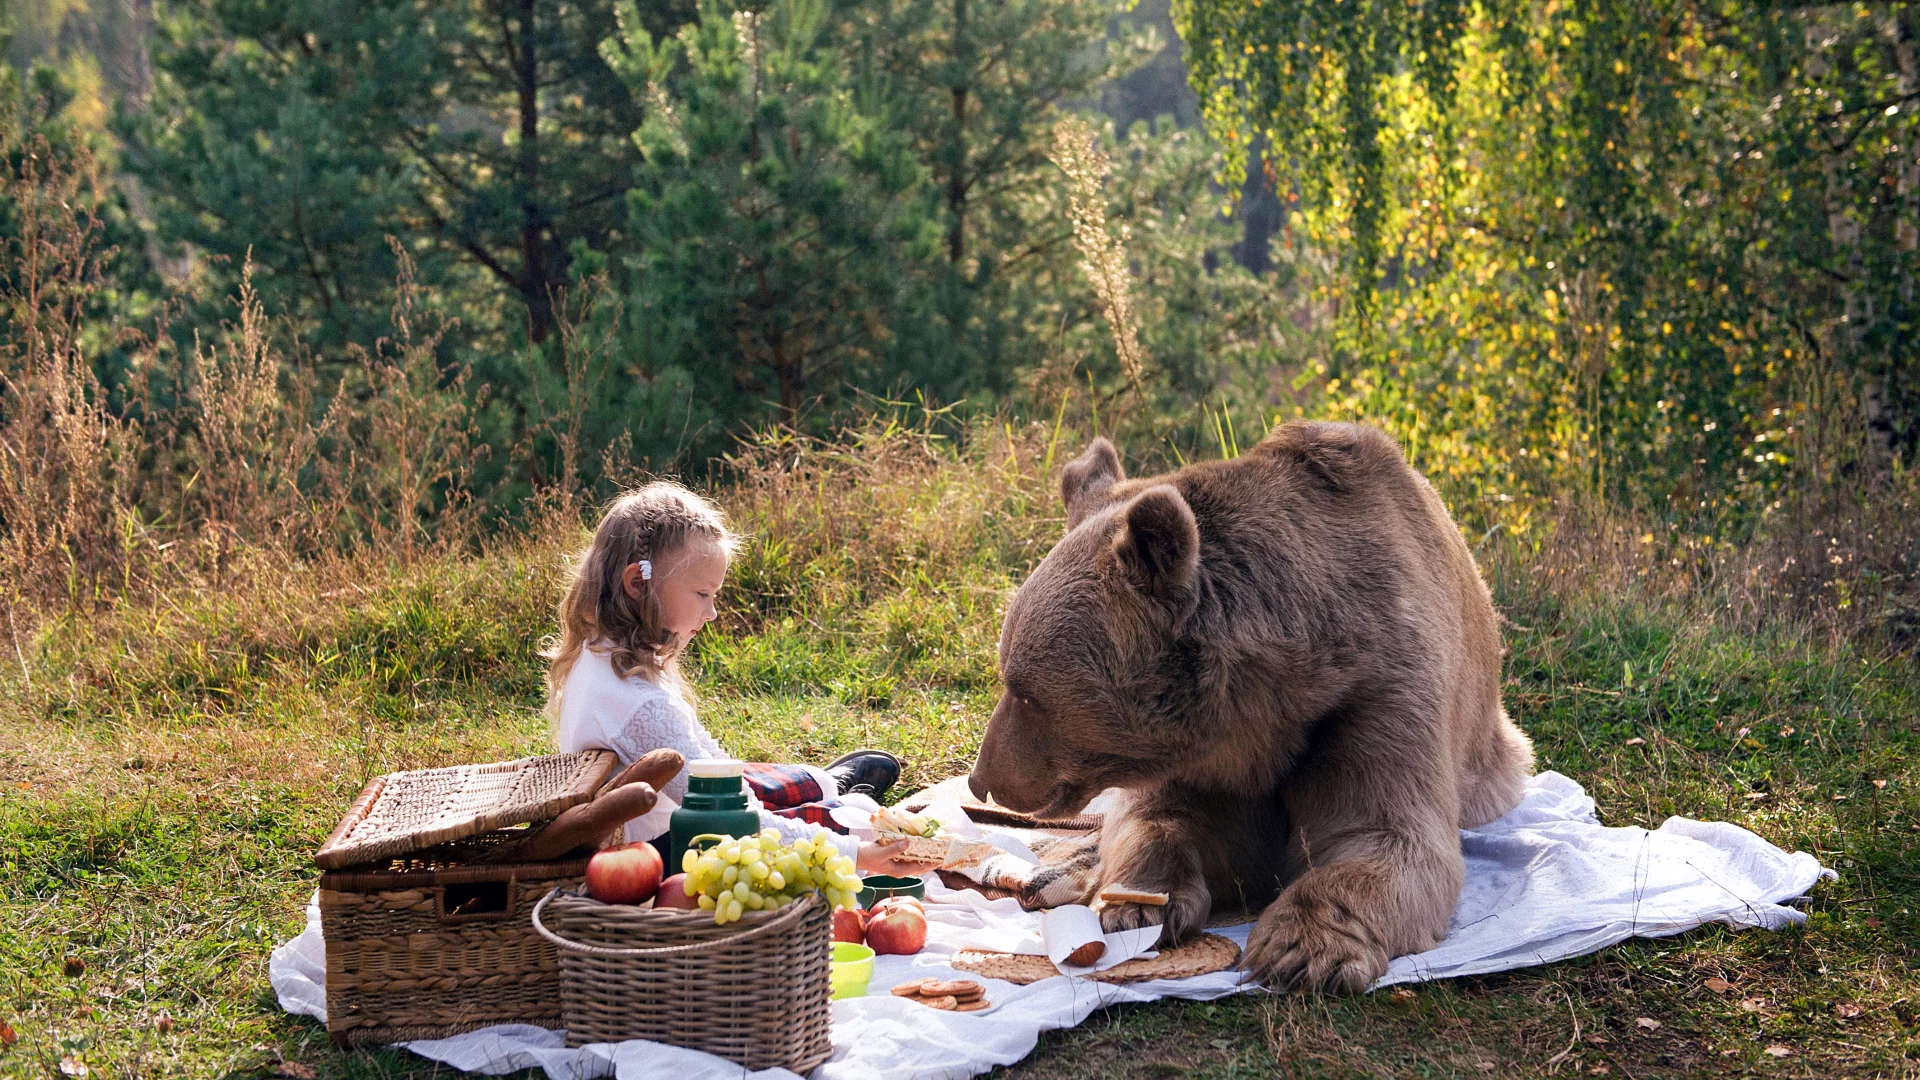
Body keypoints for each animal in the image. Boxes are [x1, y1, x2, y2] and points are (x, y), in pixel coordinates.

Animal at [967, 418, 1536, 983]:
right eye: (1009, 675)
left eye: (1024, 693)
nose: (981, 780)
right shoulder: (1201, 758)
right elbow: (1161, 820)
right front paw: (1137, 905)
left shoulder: (1376, 690)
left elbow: (1386, 831)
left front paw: (1300, 947)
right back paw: (1046, 873)